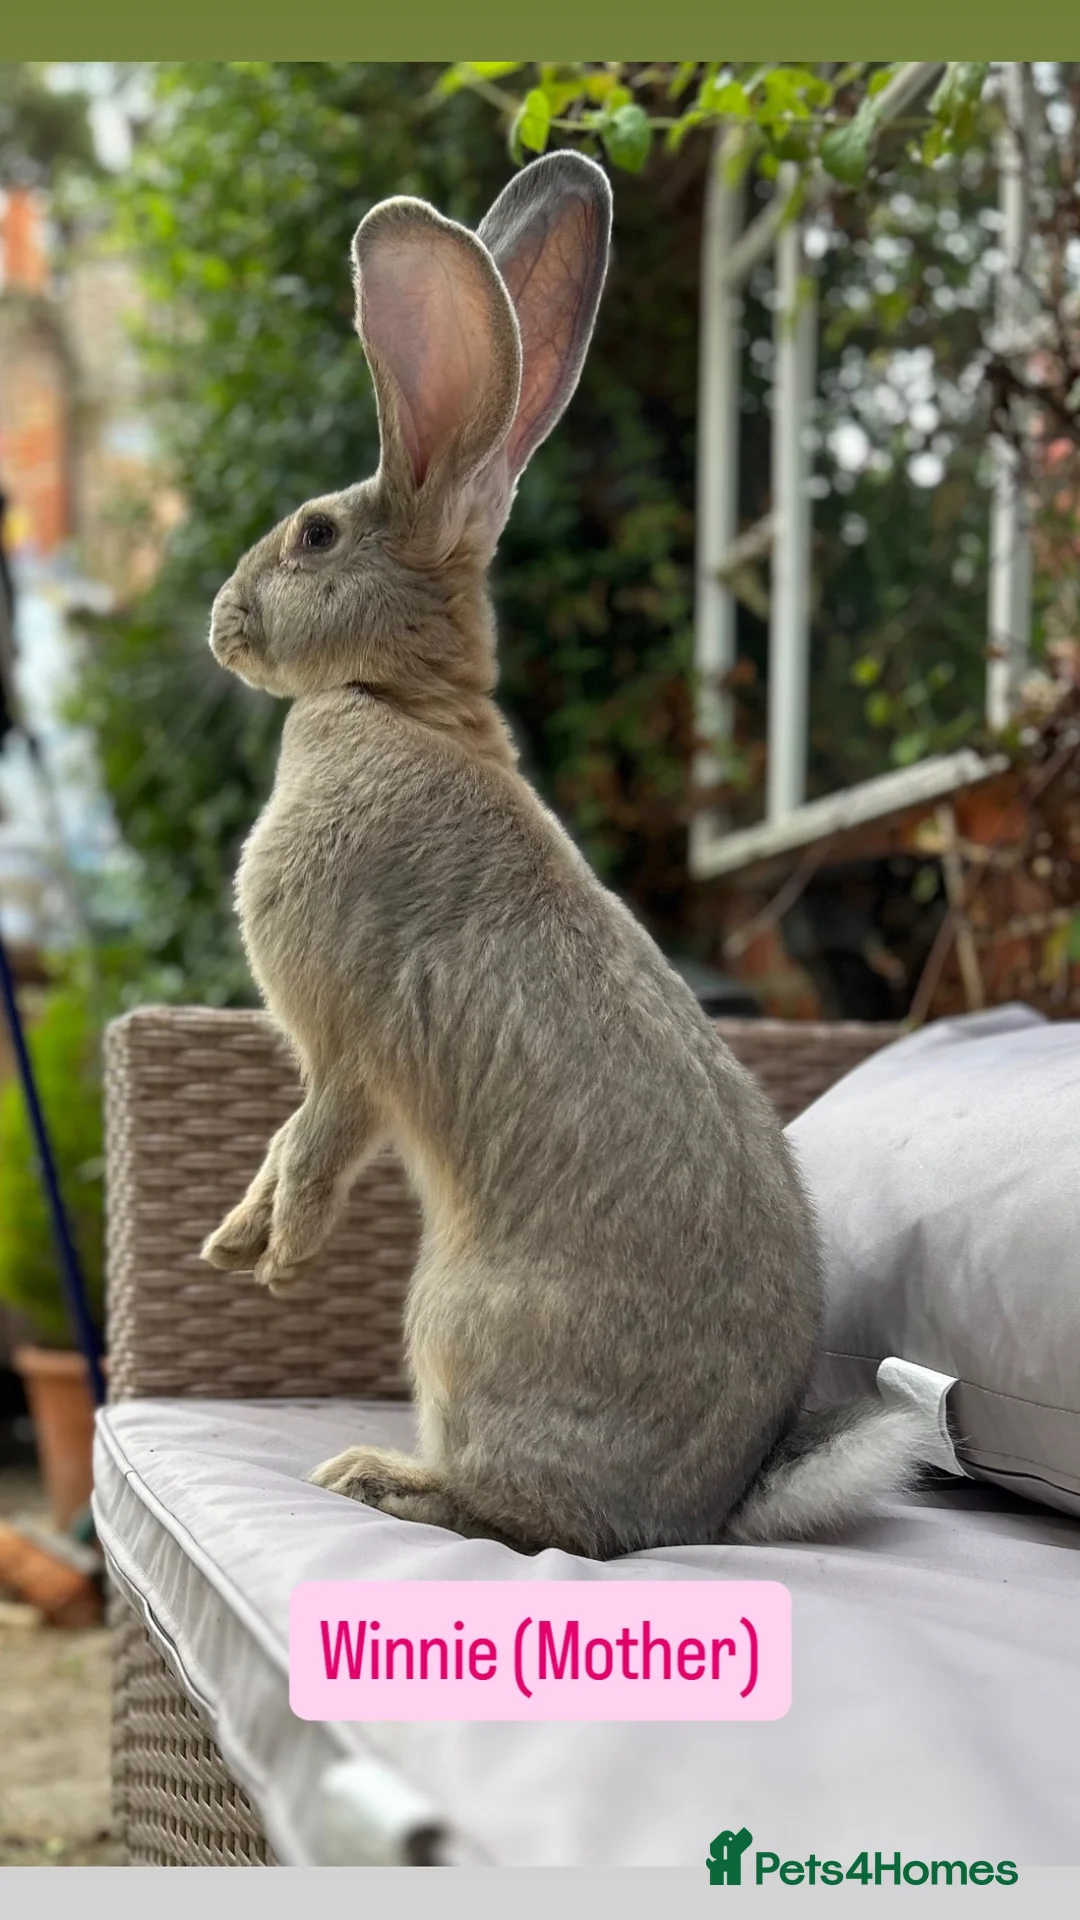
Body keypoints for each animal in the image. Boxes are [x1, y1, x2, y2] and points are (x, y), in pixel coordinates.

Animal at [200, 151, 936, 1557]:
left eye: (313, 536)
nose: (221, 624)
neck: (395, 700)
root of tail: (706, 1511)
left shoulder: (351, 1042)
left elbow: (316, 1140)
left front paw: (267, 1260)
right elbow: (283, 1142)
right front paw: (229, 1246)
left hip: (455, 1319)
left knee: (520, 1515)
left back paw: (375, 1478)